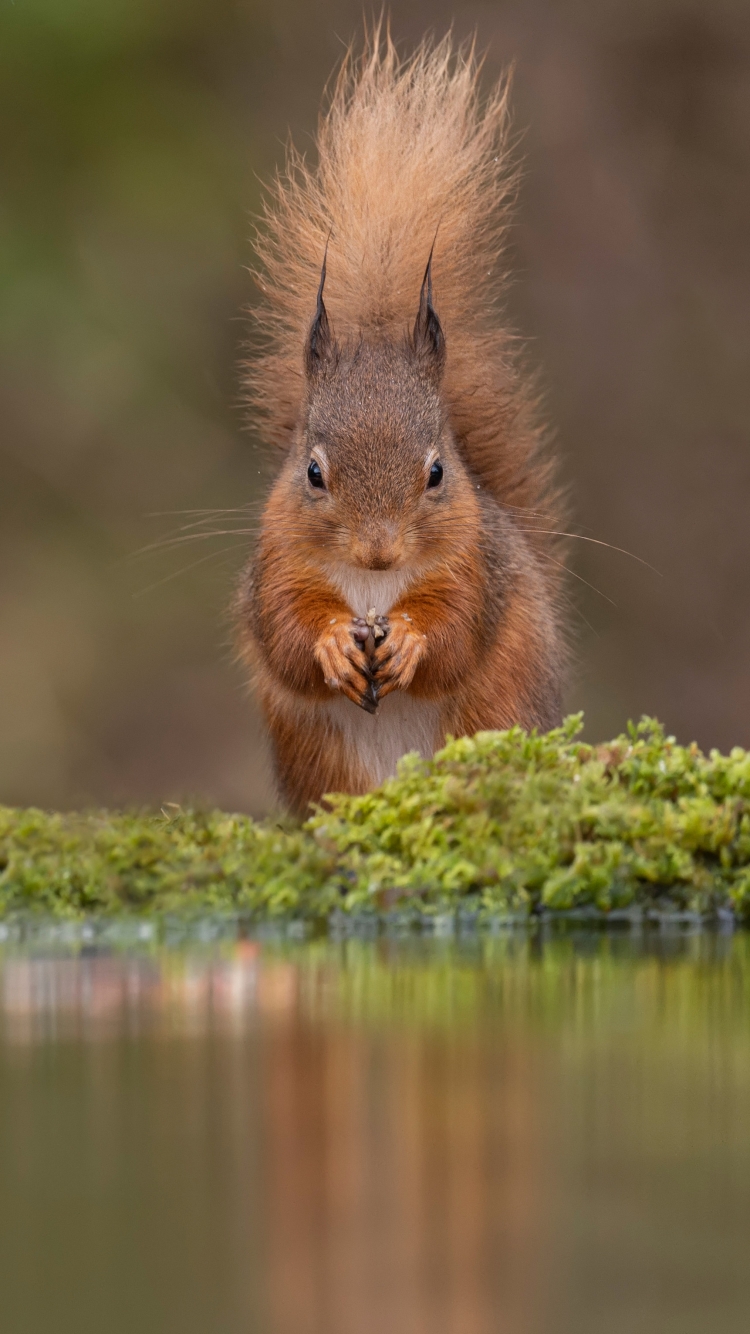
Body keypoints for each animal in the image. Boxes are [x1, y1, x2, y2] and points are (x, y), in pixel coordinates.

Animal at [233, 31, 560, 811]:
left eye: (438, 471)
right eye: (313, 473)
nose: (379, 551)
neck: (375, 589)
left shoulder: (478, 565)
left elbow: (457, 630)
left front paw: (411, 640)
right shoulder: (275, 564)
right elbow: (285, 634)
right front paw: (329, 644)